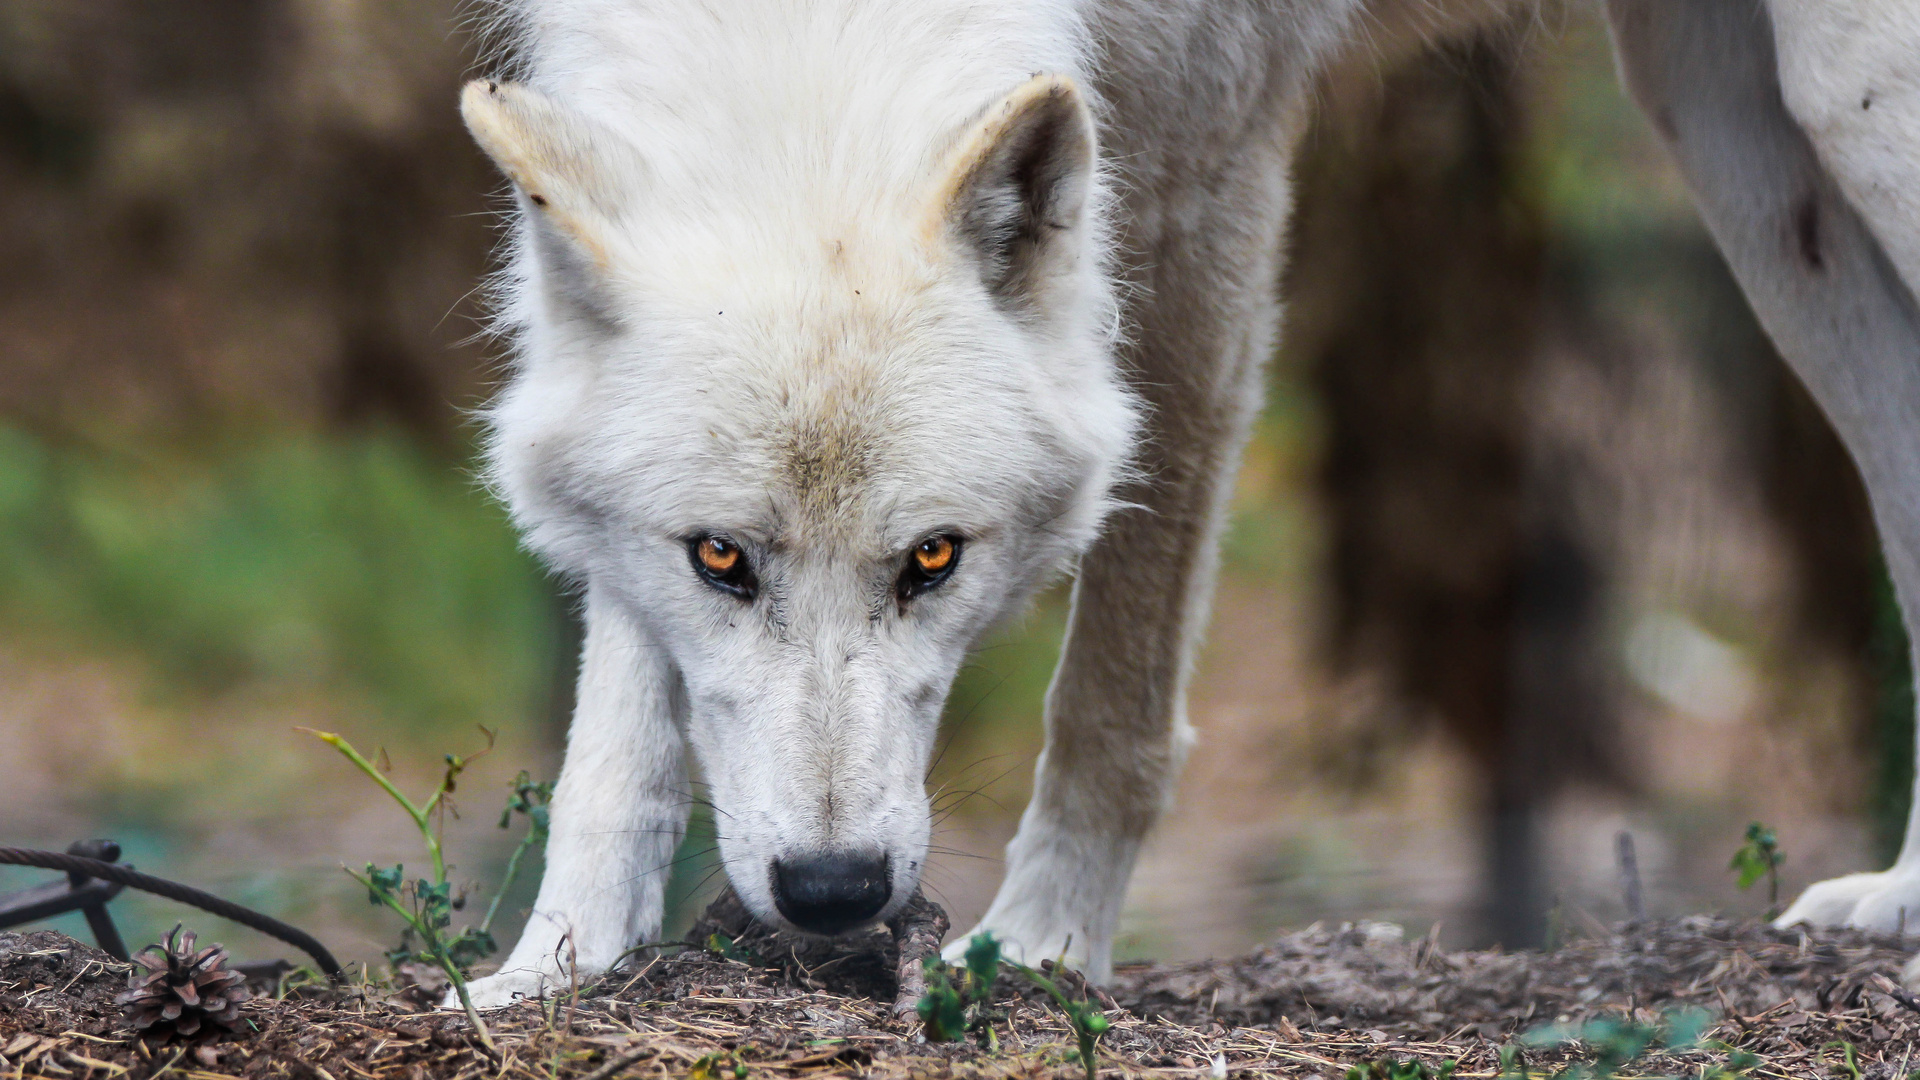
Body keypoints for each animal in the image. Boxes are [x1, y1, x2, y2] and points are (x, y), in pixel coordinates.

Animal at [453, 0, 1920, 999]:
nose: (830, 892)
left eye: (934, 558)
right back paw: (1900, 901)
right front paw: (552, 970)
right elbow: (617, 737)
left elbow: (1115, 690)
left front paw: (1040, 951)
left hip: (1840, 104)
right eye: (718, 559)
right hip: (1733, 139)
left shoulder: (1205, 185)